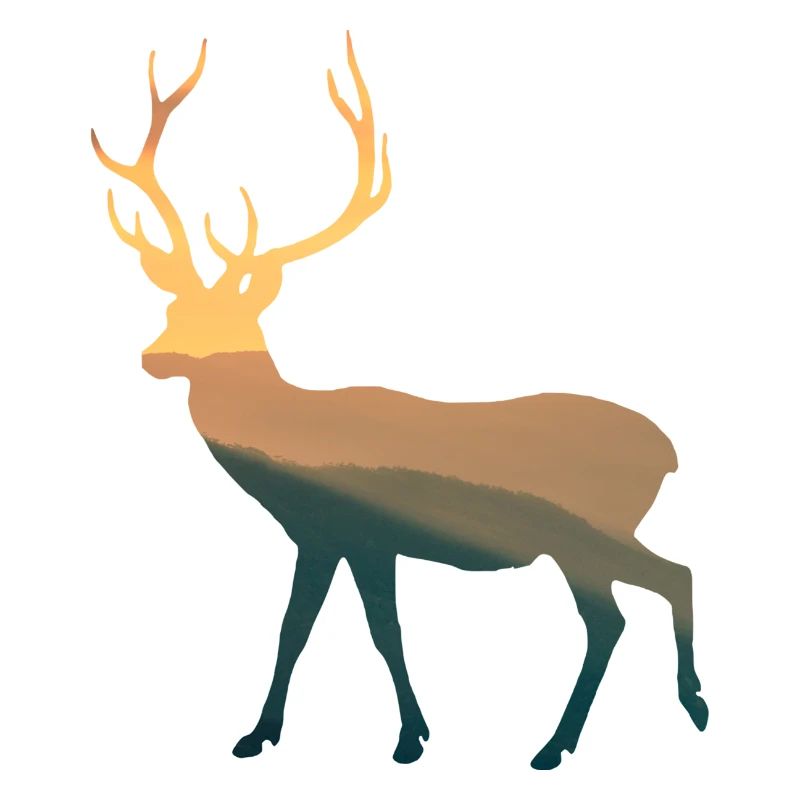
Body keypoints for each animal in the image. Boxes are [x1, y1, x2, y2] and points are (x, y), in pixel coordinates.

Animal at [91, 34, 708, 771]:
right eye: (173, 308)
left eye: (231, 325)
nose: (150, 357)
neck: (295, 442)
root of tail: (669, 453)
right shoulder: (321, 536)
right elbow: (297, 628)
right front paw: (262, 733)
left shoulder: (363, 532)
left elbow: (379, 629)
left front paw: (408, 738)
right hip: (591, 540)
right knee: (622, 610)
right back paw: (572, 739)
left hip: (589, 532)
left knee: (657, 585)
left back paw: (655, 714)